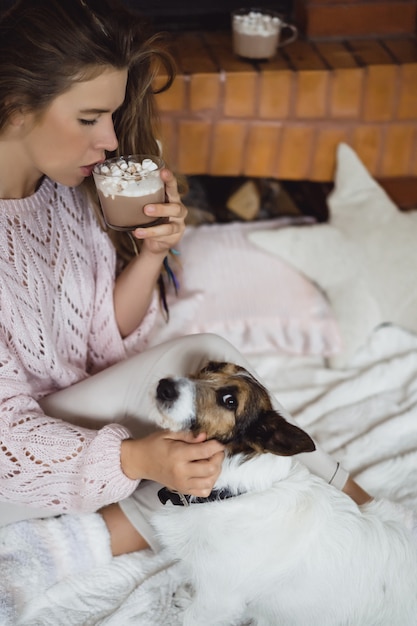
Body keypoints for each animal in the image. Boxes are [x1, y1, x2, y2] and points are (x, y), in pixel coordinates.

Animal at [151, 360, 416, 624]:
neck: (230, 493)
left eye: (230, 400)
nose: (164, 387)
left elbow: (193, 616)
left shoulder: (218, 598)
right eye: (209, 368)